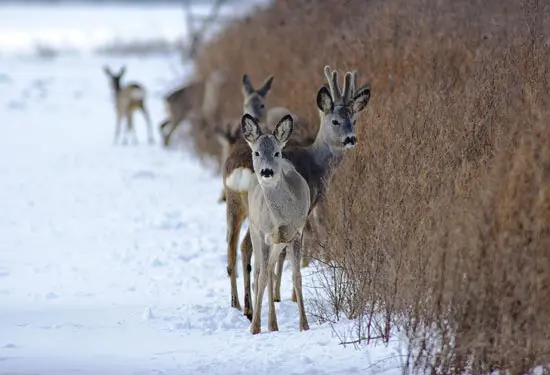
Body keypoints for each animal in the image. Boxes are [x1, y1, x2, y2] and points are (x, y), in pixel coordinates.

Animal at [240, 114, 310, 334]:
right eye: (256, 152)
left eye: (277, 152)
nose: (267, 172)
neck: (281, 219)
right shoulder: (263, 234)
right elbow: (261, 277)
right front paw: (254, 328)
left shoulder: (297, 234)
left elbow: (297, 277)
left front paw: (304, 325)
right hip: (255, 231)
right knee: (260, 273)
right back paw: (263, 322)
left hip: (278, 243)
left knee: (270, 270)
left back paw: (273, 324)